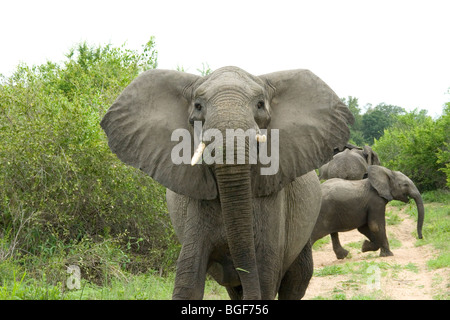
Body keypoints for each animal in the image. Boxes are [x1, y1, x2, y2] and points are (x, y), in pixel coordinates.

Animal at [100, 66, 354, 298]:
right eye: (198, 106)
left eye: (260, 104)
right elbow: (189, 279)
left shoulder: (273, 202)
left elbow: (265, 277)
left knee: (295, 282)